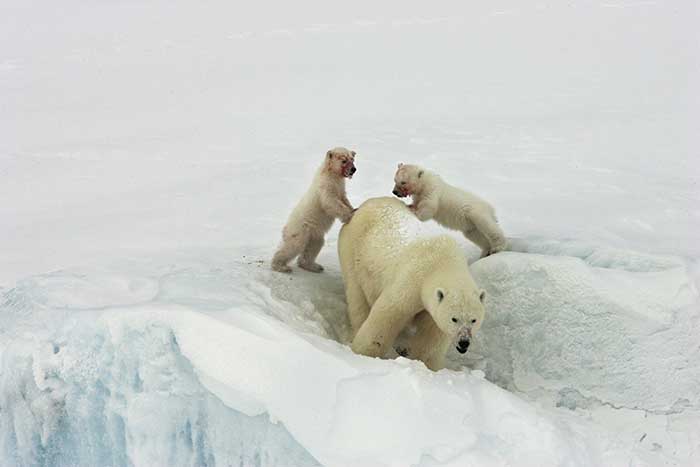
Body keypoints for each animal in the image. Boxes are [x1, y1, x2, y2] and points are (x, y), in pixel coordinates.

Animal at [340, 196, 486, 372]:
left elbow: (431, 338)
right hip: (354, 253)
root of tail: (365, 205)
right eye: (454, 319)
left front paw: (427, 365)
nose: (464, 342)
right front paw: (364, 353)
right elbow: (388, 313)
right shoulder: (412, 281)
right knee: (356, 295)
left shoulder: (432, 310)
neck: (443, 263)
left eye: (474, 320)